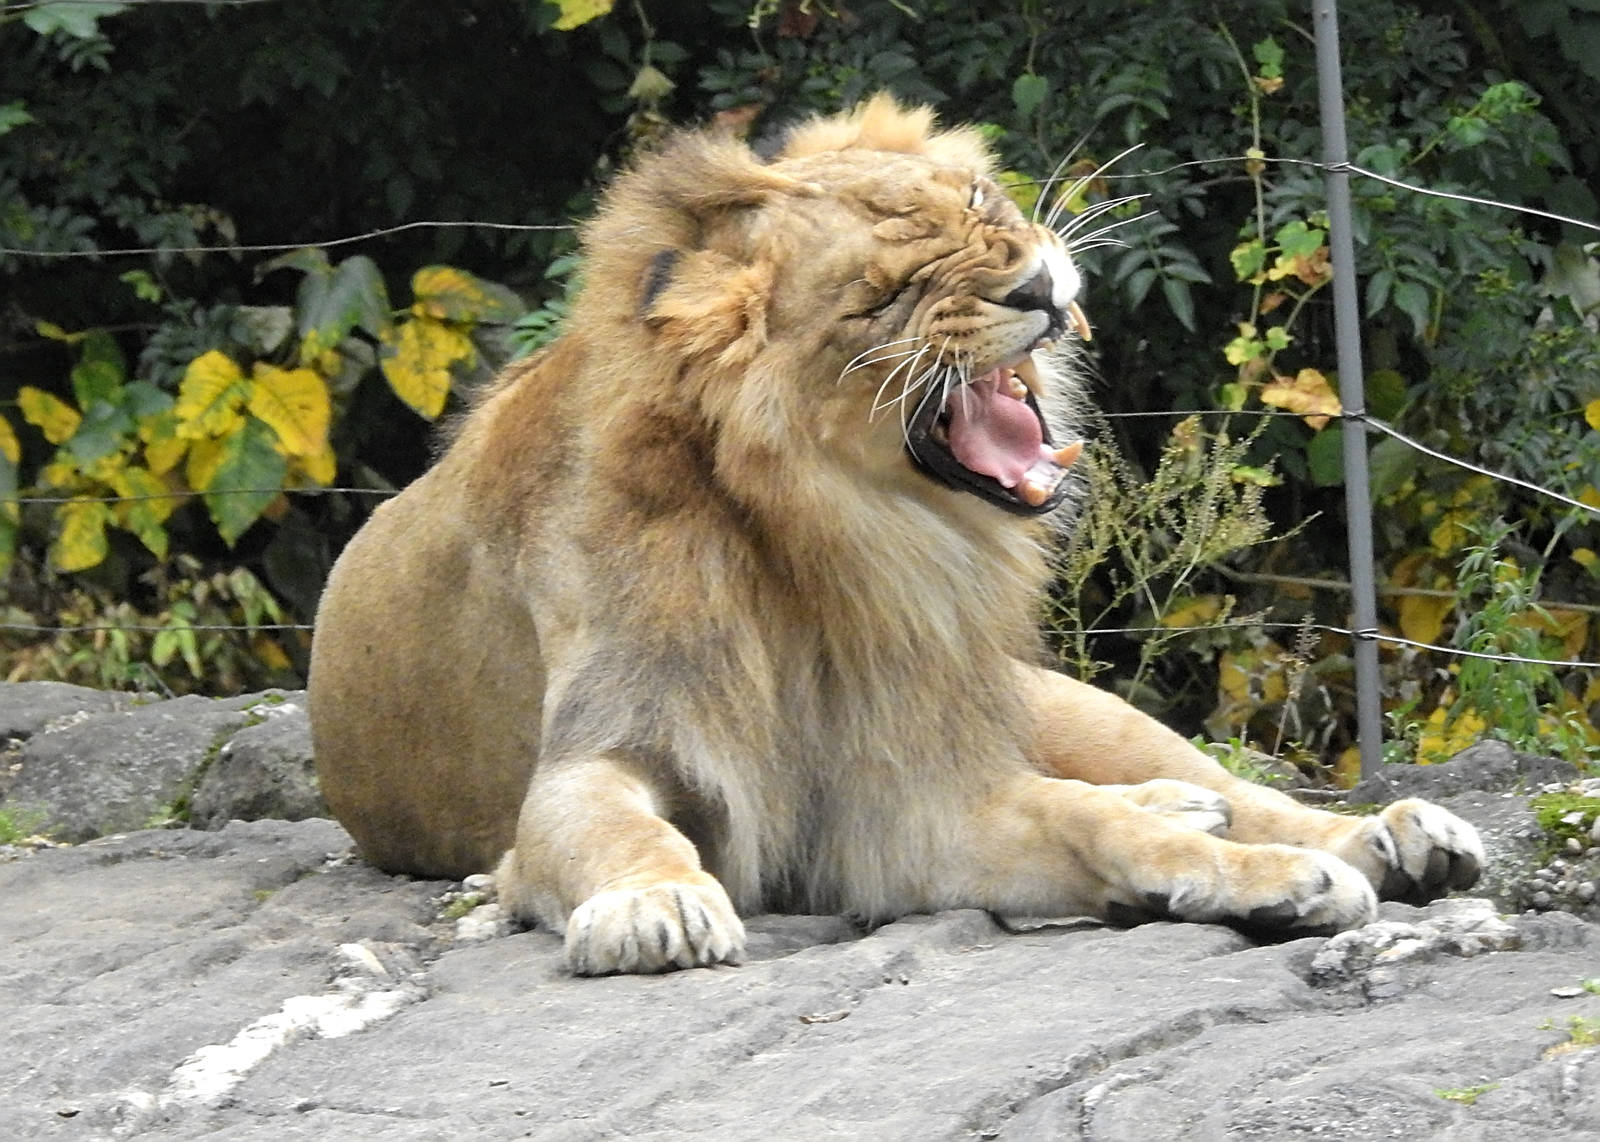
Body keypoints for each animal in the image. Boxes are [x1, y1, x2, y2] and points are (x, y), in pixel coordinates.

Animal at [308, 95, 1483, 975]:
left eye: (979, 204)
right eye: (887, 294)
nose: (1038, 284)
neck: (827, 546)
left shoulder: (896, 787)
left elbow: (1088, 819)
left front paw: (1281, 877)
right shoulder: (600, 760)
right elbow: (623, 829)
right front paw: (656, 905)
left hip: (1057, 701)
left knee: (1226, 783)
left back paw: (1396, 837)